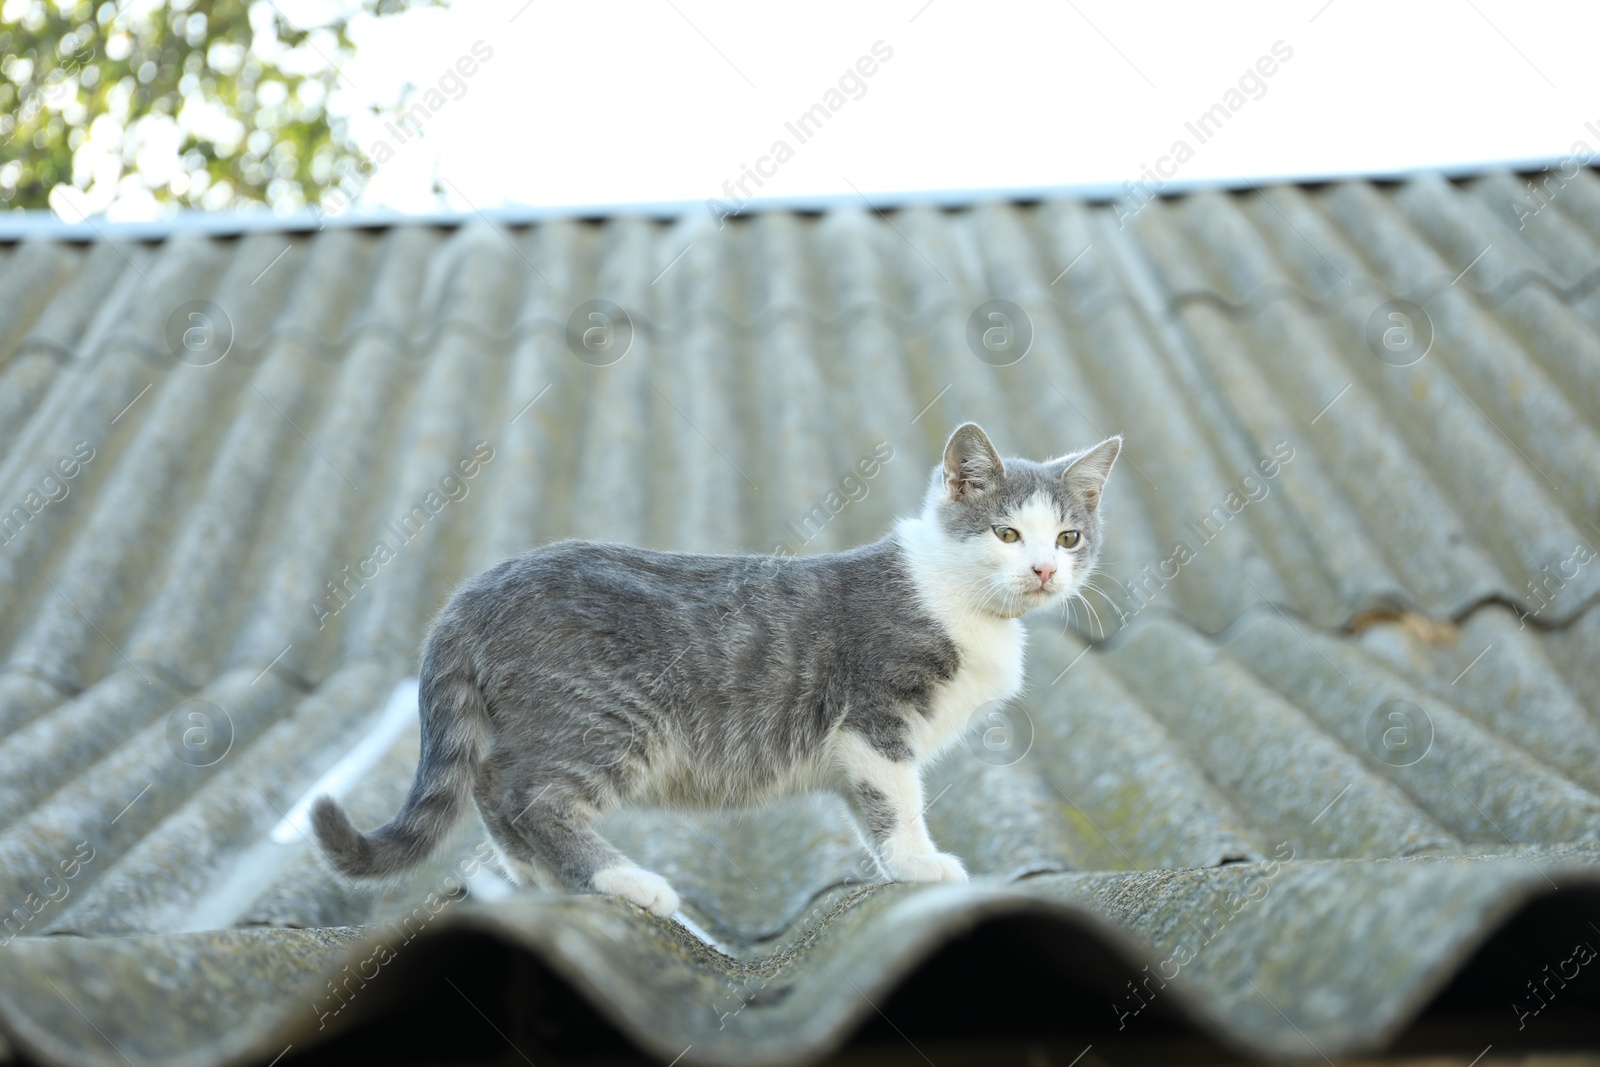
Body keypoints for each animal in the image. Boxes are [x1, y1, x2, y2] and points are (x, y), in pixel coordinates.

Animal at [308, 425, 1113, 921]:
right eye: (1006, 532)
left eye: (1069, 537)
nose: (1044, 569)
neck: (956, 598)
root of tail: (477, 590)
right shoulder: (877, 716)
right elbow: (898, 798)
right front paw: (919, 862)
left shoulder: (855, 747)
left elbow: (866, 804)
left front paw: (893, 864)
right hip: (611, 718)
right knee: (531, 798)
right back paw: (625, 880)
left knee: (491, 784)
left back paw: (534, 874)